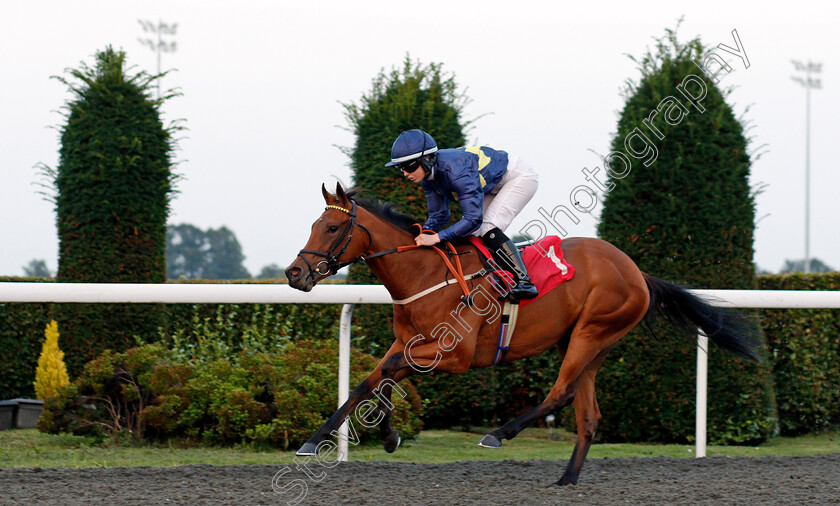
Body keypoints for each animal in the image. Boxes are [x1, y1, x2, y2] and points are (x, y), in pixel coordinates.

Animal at [284, 183, 760, 486]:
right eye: (314, 224)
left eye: (331, 228)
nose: (294, 273)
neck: (424, 274)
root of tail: (636, 272)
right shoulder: (408, 344)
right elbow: (366, 383)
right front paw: (317, 441)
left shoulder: (453, 354)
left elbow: (385, 377)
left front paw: (387, 435)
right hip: (590, 344)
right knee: (588, 416)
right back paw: (565, 481)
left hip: (591, 332)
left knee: (561, 394)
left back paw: (499, 433)